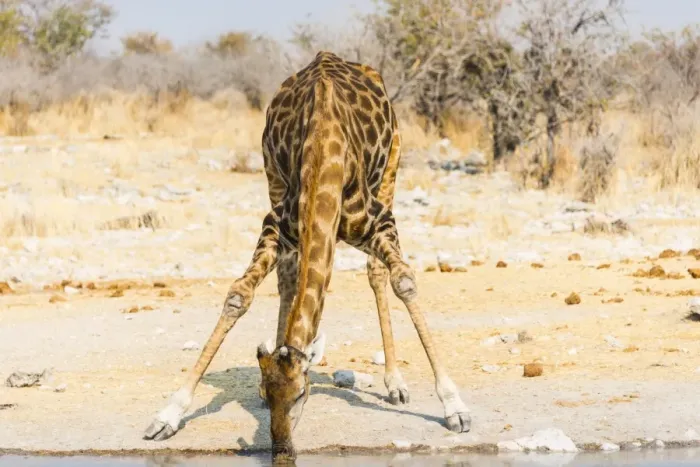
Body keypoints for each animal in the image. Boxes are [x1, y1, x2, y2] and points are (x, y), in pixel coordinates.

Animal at [142, 51, 471, 462]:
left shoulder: (379, 222)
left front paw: (455, 406)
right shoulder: (276, 225)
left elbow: (404, 281)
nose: (282, 452)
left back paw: (395, 383)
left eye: (302, 394)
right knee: (287, 277)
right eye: (269, 393)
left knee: (376, 273)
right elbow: (239, 296)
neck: (322, 155)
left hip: (392, 167)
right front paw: (167, 415)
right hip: (271, 175)